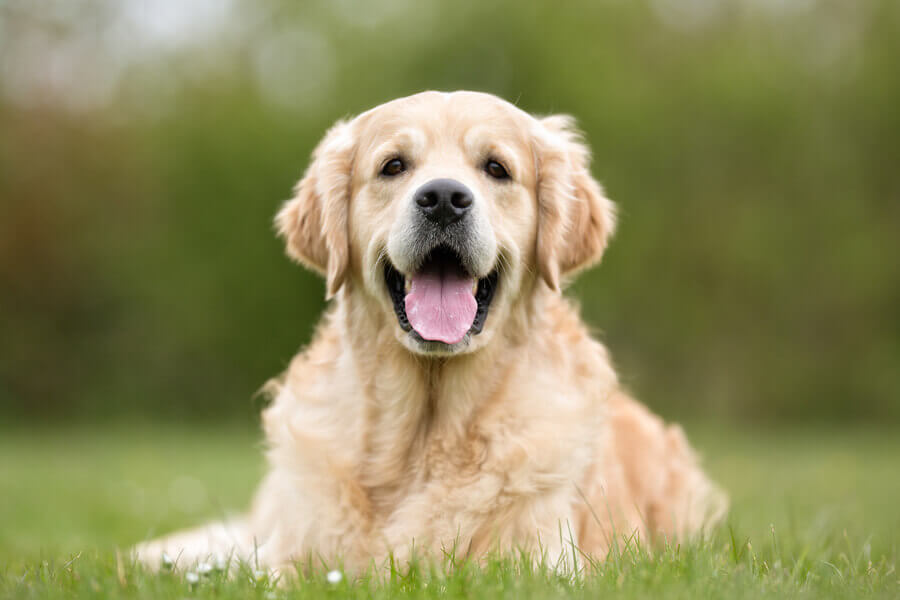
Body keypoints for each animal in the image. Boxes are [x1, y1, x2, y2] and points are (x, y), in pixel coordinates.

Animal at [135, 91, 724, 576]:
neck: (424, 433)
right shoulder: (293, 558)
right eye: (393, 165)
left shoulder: (541, 560)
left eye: (496, 168)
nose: (442, 198)